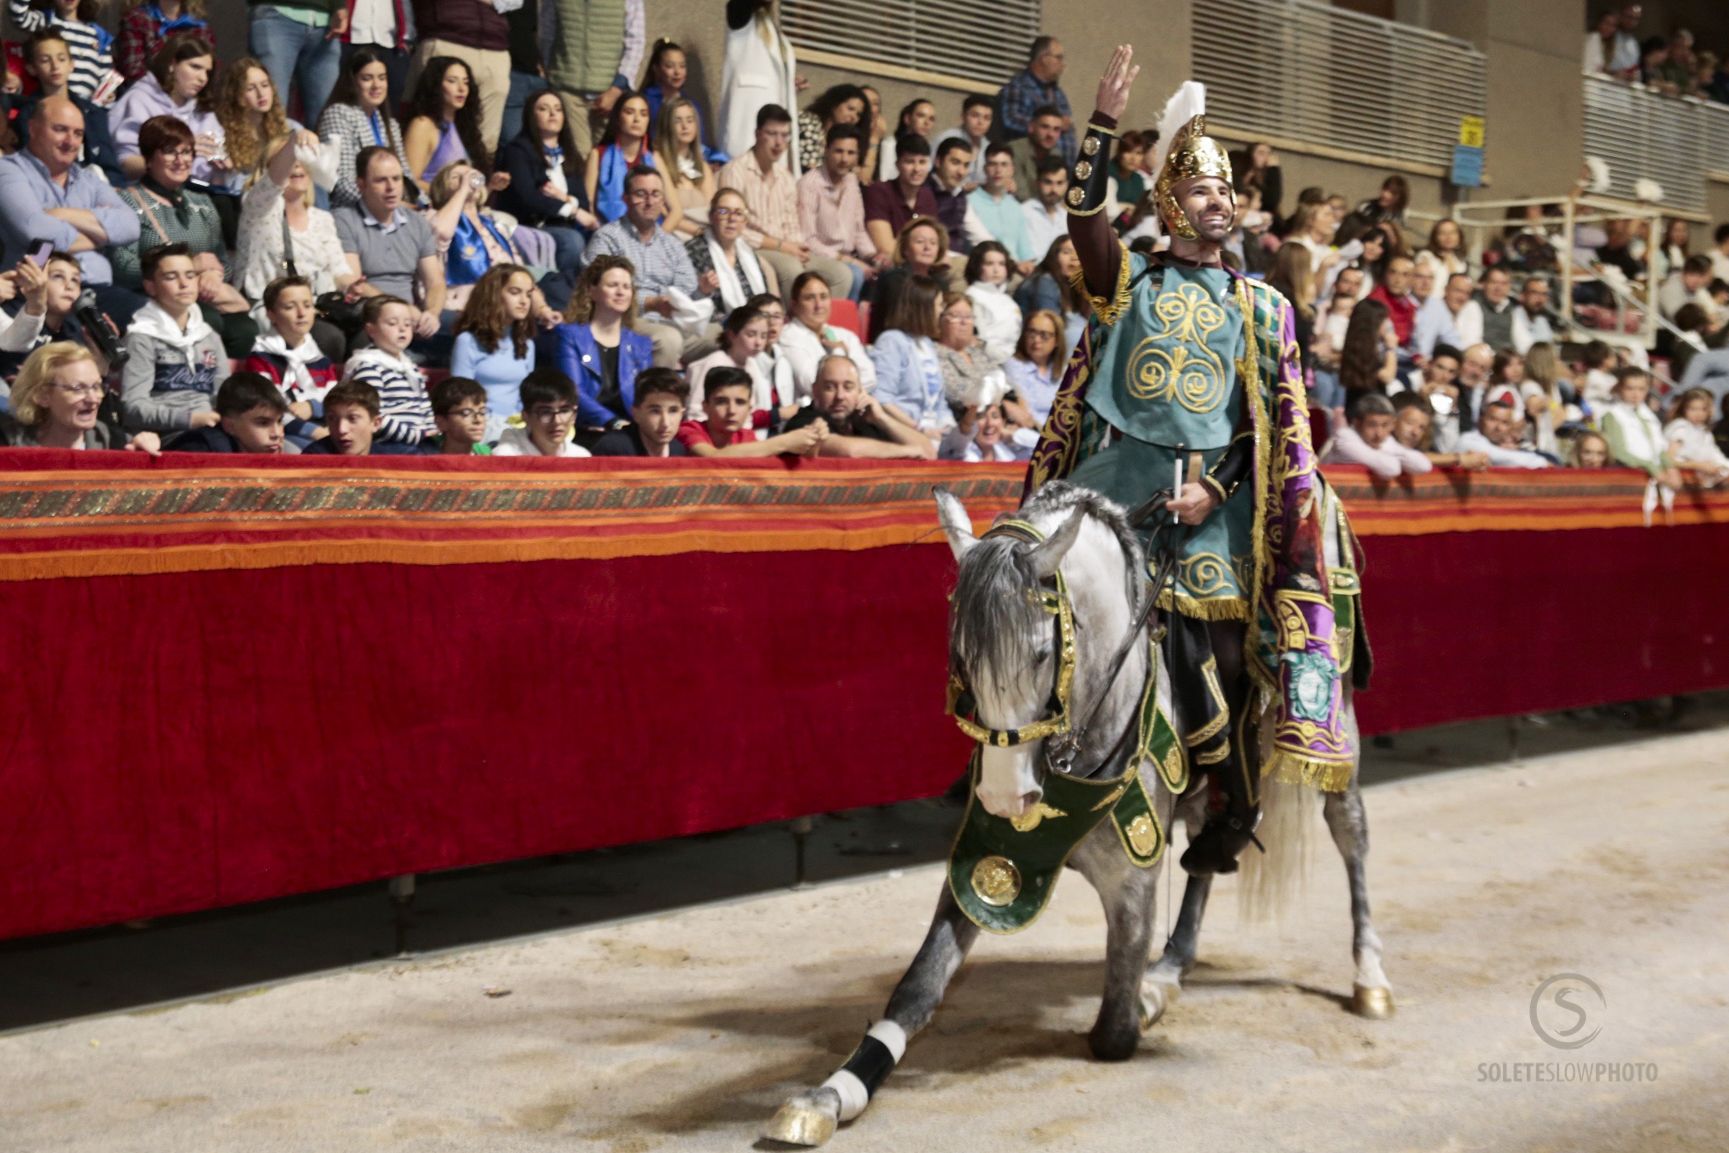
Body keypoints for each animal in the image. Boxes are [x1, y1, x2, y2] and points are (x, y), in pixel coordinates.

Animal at [767, 484, 1390, 1147]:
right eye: (960, 656)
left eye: (1043, 653)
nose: (1006, 798)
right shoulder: (983, 866)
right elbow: (916, 988)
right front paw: (830, 1093)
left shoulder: (1132, 880)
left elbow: (1114, 1026)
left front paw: (1144, 999)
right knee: (1204, 854)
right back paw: (1174, 962)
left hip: (1339, 734)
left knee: (1350, 840)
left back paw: (1369, 976)